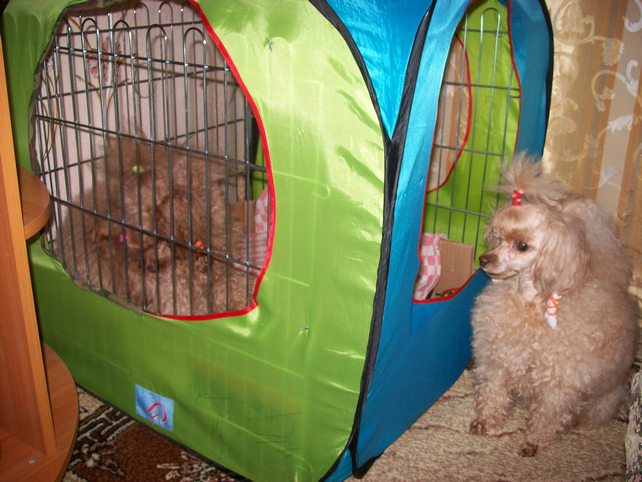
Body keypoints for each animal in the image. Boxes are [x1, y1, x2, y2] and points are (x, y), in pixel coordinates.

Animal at [469, 154, 639, 457]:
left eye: (522, 246)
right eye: (498, 237)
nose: (484, 260)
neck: (529, 304)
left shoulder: (559, 384)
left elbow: (548, 414)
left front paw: (534, 440)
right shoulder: (498, 358)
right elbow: (493, 392)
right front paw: (486, 420)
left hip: (601, 399)